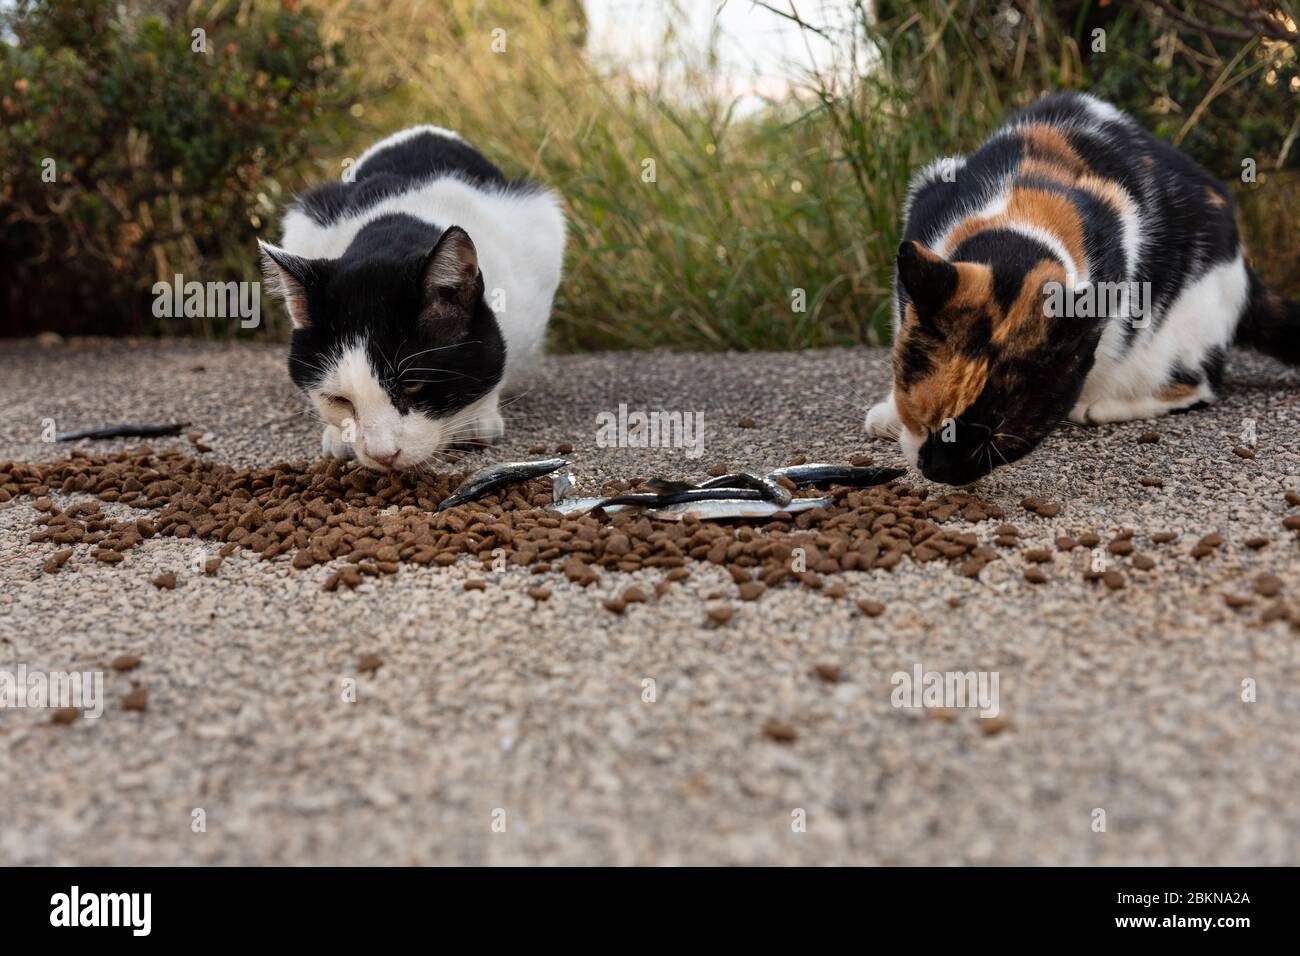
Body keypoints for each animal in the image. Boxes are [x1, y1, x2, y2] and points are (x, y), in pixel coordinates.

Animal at [261, 127, 566, 470]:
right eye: (338, 400)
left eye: (413, 385)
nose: (382, 454)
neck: (394, 233)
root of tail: (425, 130)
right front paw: (338, 436)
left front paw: (477, 419)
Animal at [863, 91, 1300, 486]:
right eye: (925, 416)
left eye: (1001, 440)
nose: (940, 472)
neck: (1021, 218)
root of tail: (1244, 265)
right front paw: (889, 413)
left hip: (1188, 324)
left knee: (1201, 383)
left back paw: (1100, 406)